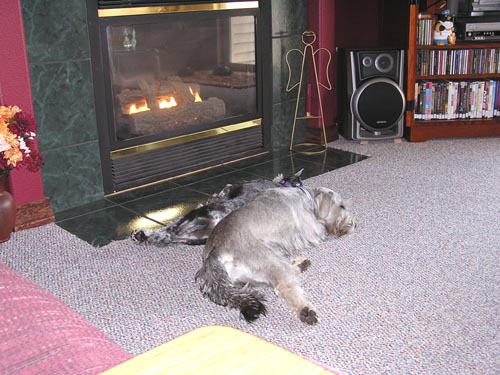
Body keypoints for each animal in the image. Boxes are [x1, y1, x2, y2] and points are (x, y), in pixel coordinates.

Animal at [193, 187, 354, 326]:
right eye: (341, 206)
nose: (354, 224)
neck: (308, 198)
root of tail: (214, 253)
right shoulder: (311, 229)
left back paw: (300, 265)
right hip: (269, 260)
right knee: (284, 286)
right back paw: (306, 311)